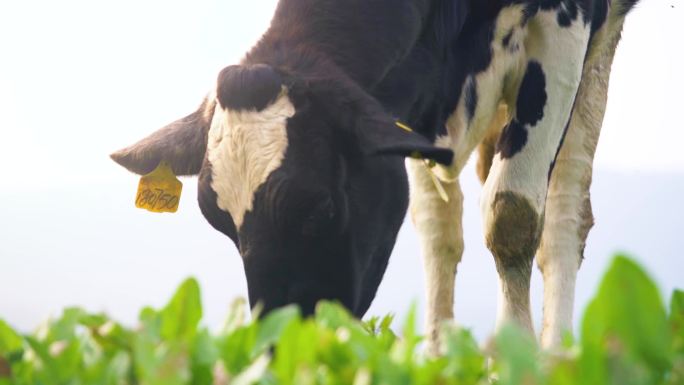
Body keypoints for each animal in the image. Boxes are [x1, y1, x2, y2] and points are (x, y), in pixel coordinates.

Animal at [111, 0, 640, 352]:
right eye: (221, 223)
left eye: (320, 208)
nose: (277, 351)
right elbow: (437, 231)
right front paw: (441, 359)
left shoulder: (565, 27)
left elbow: (512, 214)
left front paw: (515, 358)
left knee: (563, 211)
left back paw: (555, 356)